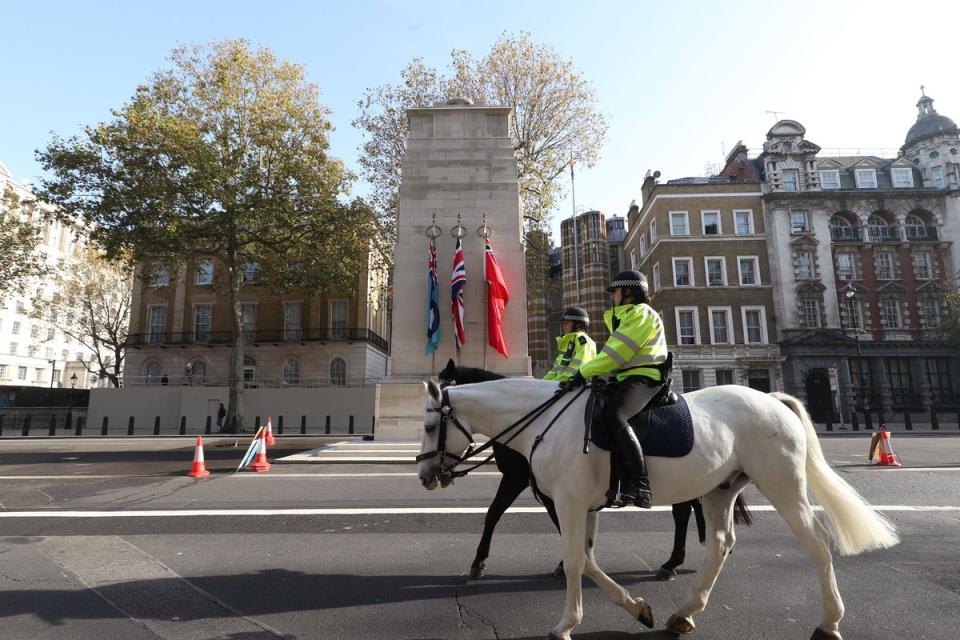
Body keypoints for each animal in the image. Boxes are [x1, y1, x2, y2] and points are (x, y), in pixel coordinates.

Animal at [416, 380, 896, 640]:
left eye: (428, 424)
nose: (424, 475)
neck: (543, 422)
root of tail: (773, 399)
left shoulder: (570, 504)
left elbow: (574, 562)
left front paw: (566, 623)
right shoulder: (581, 507)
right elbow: (586, 560)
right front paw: (637, 608)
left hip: (783, 484)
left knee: (816, 543)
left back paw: (830, 622)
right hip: (719, 490)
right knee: (720, 544)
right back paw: (683, 613)